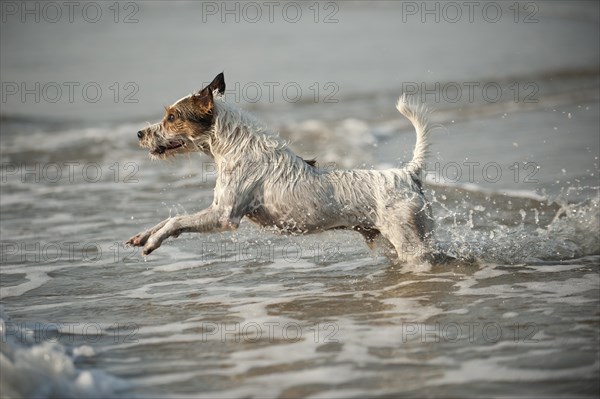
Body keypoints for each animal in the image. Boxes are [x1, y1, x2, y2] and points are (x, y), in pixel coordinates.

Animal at [125, 73, 446, 264]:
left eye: (171, 117)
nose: (139, 134)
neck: (234, 145)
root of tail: (406, 174)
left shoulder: (224, 215)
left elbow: (176, 220)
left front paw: (153, 241)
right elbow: (167, 219)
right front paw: (143, 235)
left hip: (410, 244)